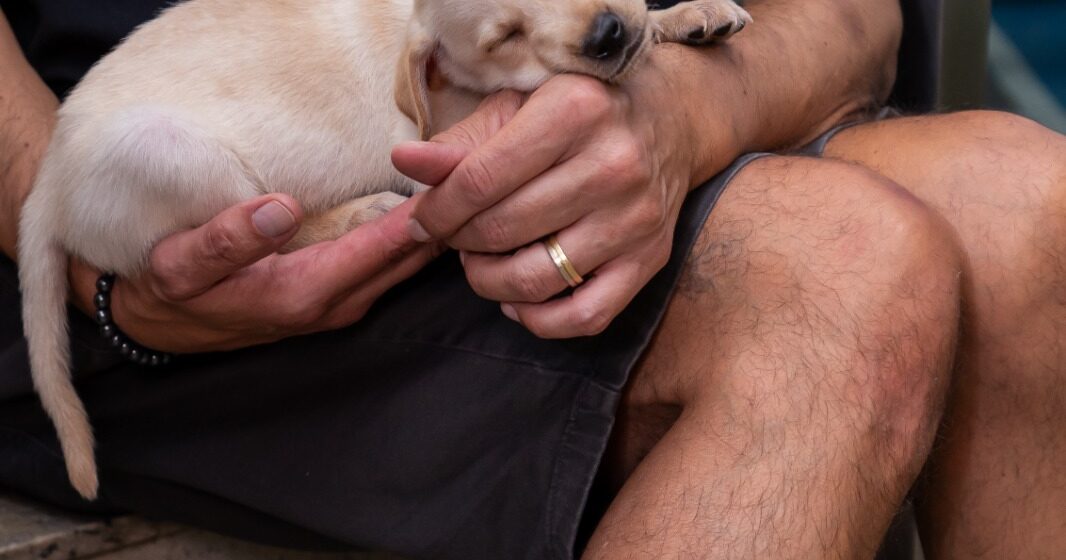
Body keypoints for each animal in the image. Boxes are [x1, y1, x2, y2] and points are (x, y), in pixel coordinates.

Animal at [16, 0, 750, 497]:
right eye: (505, 37)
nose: (607, 34)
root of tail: (46, 186)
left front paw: (687, 15)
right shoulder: (443, 138)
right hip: (175, 159)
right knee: (272, 232)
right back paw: (355, 214)